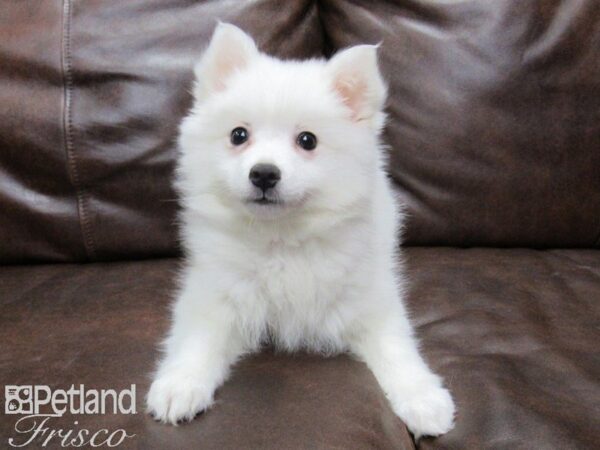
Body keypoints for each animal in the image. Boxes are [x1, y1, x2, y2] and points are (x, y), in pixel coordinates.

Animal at [146, 22, 454, 438]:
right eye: (238, 135)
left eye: (307, 140)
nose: (263, 173)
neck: (282, 238)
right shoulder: (216, 291)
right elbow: (198, 338)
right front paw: (180, 385)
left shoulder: (369, 297)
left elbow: (397, 348)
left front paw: (423, 400)